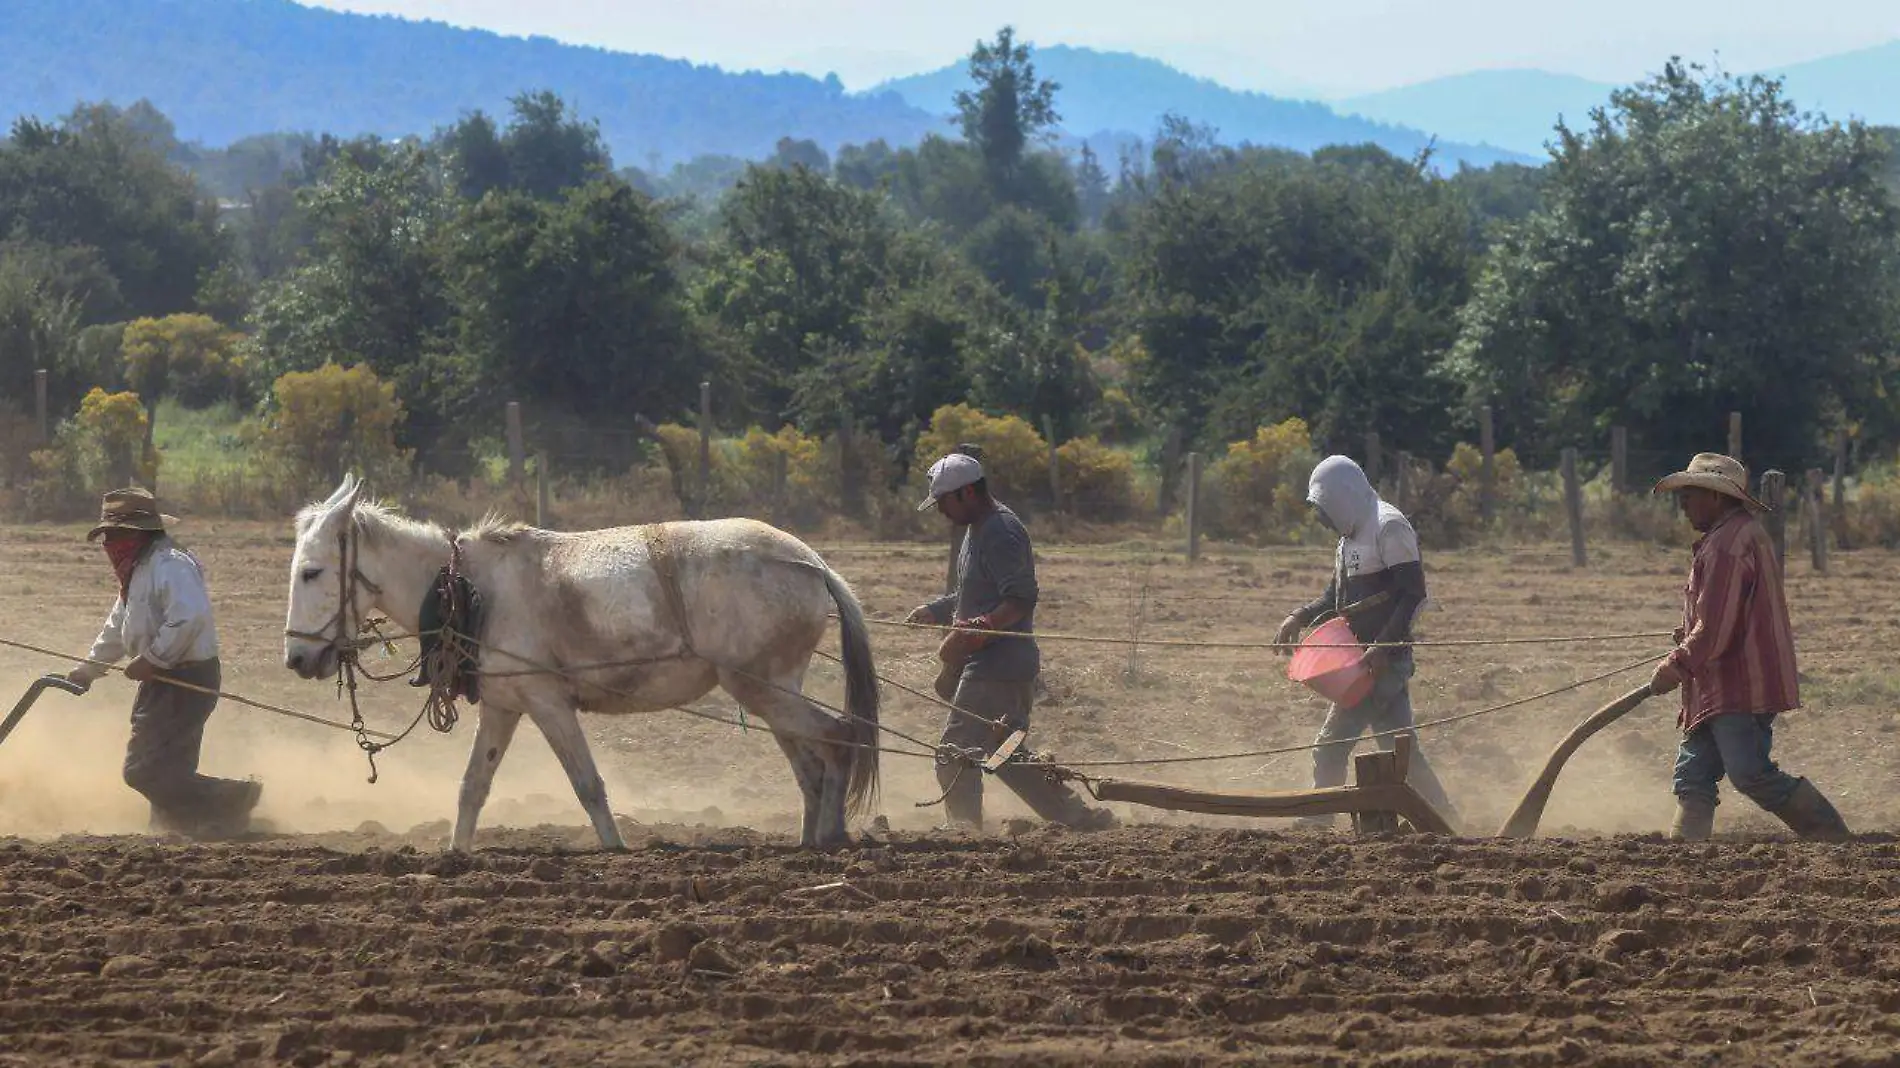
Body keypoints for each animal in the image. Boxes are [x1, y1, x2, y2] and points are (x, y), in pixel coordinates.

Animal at [279, 473, 881, 847]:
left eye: (311, 571)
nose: (296, 656)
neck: (471, 590)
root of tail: (811, 562)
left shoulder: (547, 702)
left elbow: (587, 783)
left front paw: (616, 850)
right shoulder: (503, 706)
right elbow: (473, 786)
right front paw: (455, 856)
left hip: (764, 687)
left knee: (838, 738)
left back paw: (831, 838)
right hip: (771, 692)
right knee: (809, 766)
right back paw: (806, 841)